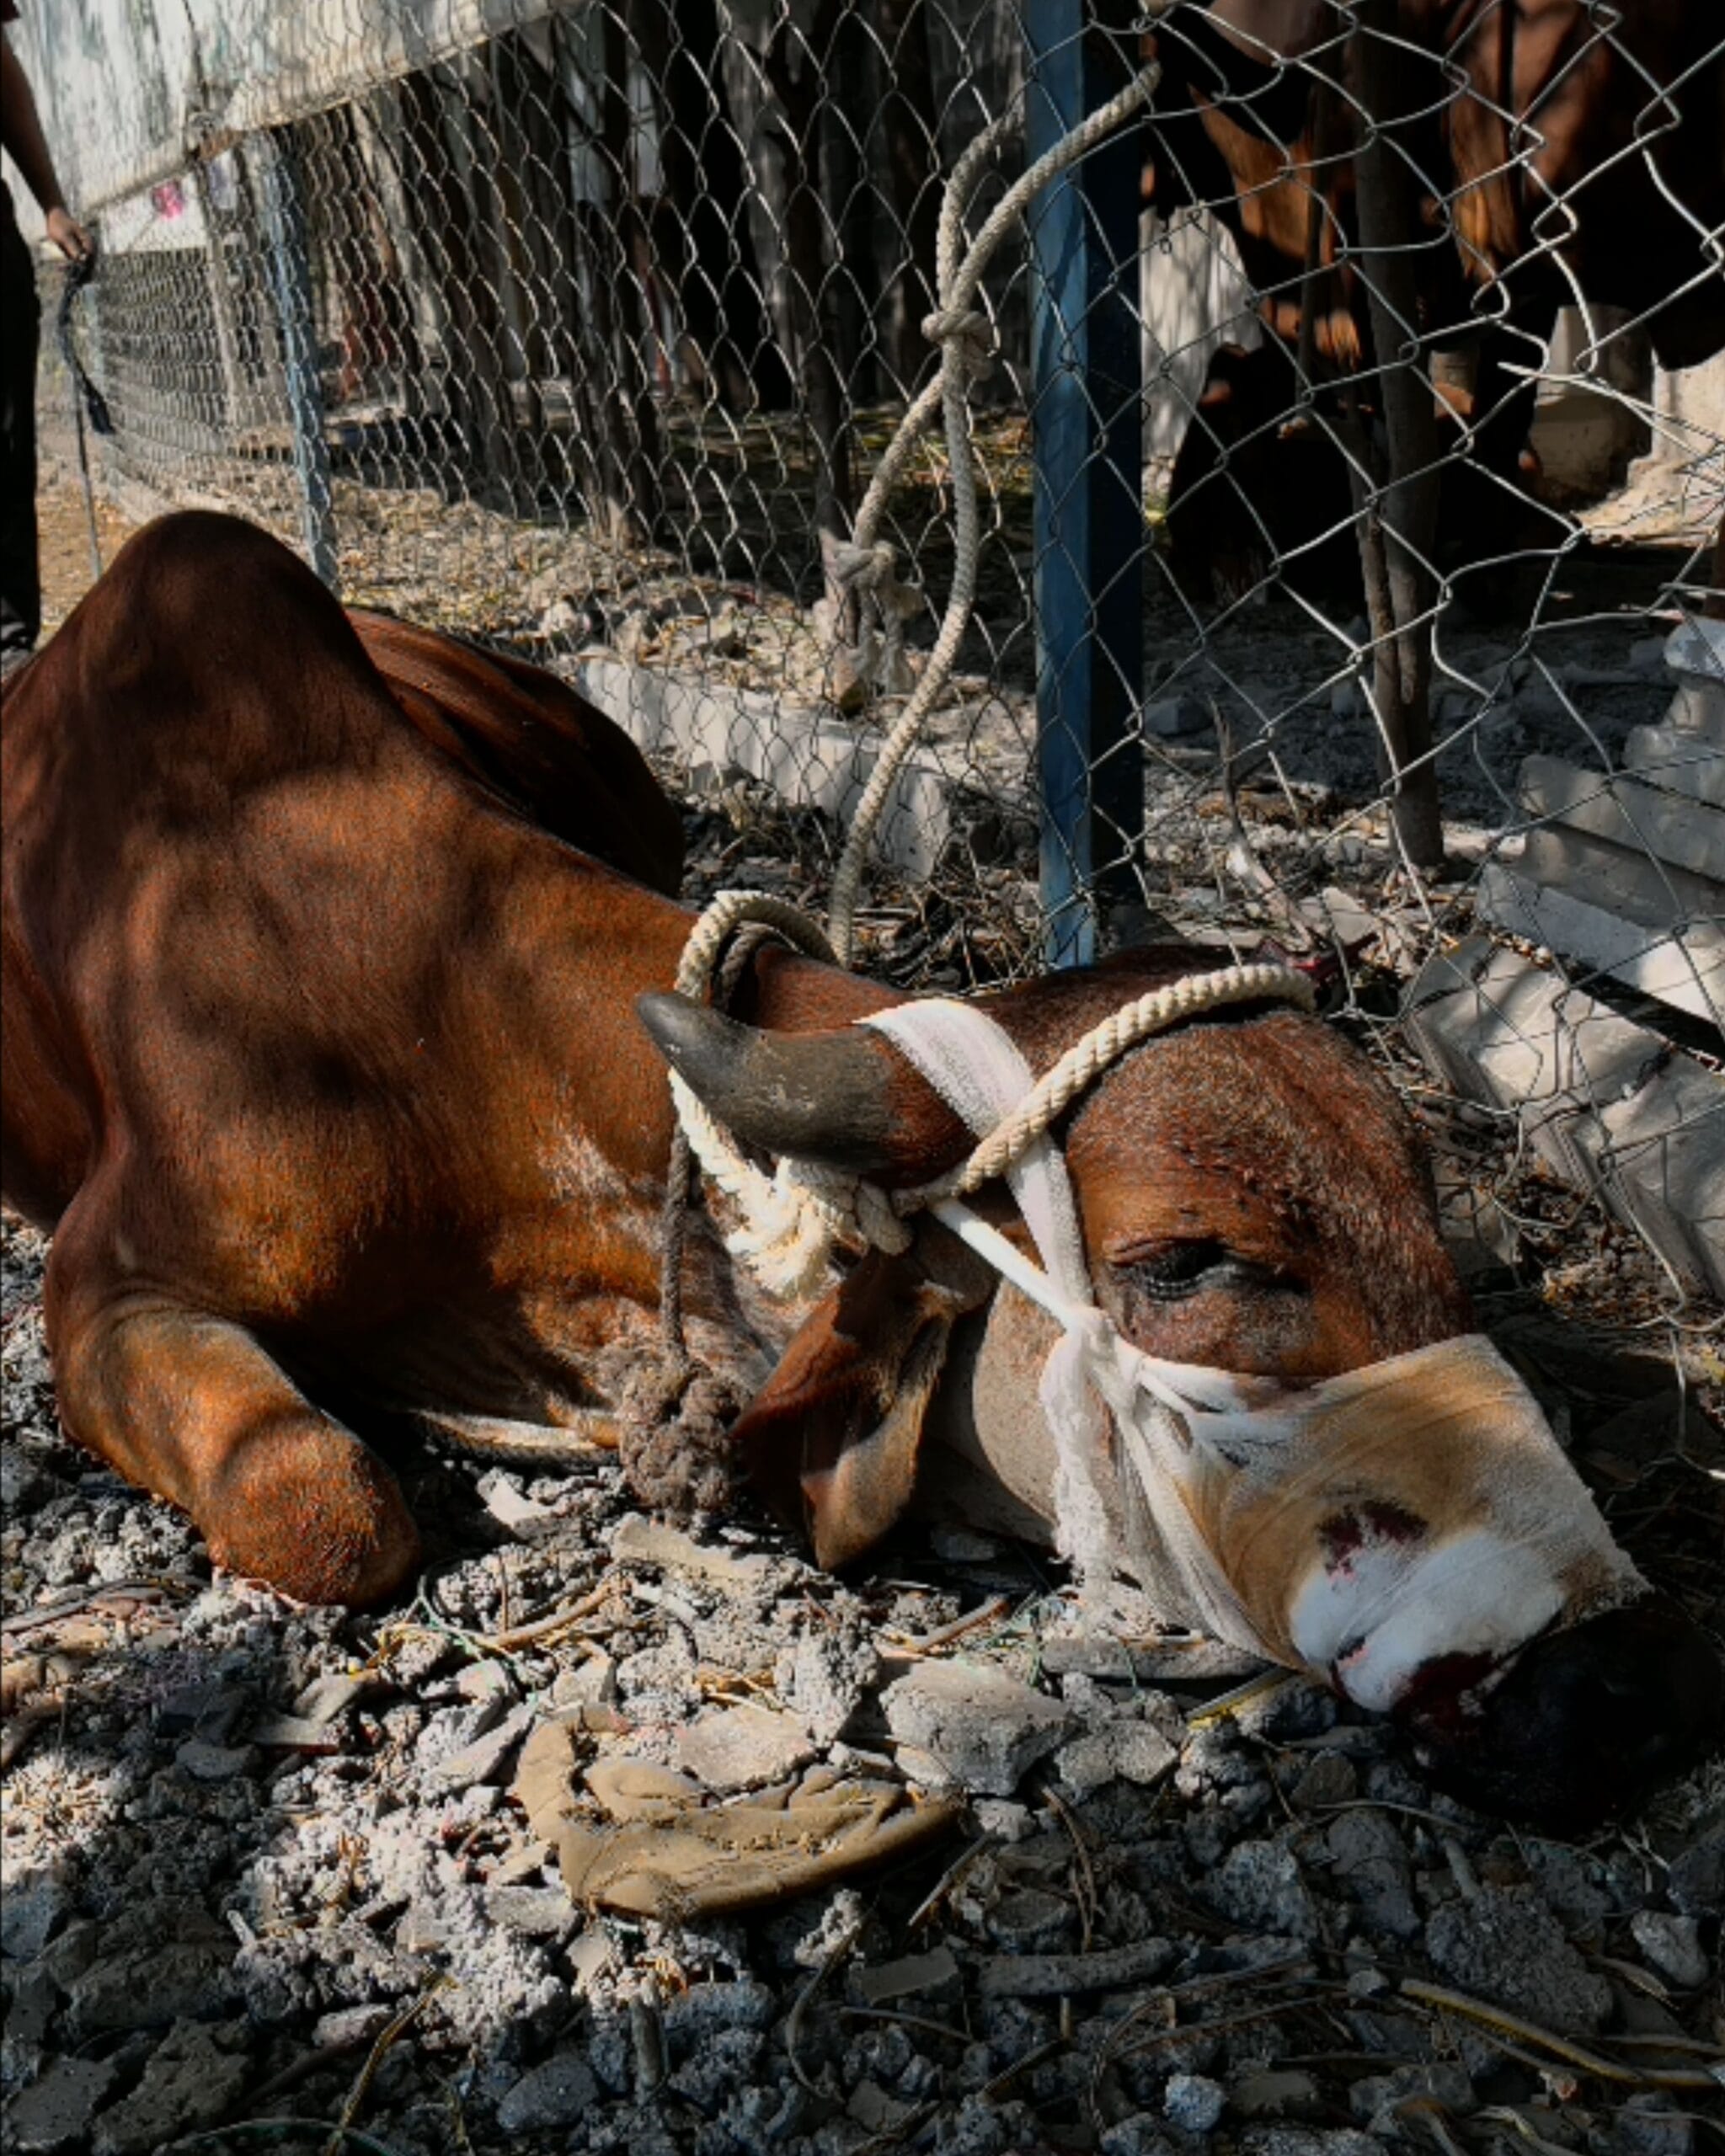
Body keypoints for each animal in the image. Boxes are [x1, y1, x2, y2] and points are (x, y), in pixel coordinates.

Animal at [2, 511, 1719, 1825]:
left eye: (1429, 1221)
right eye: (1189, 1260)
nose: (1622, 1684)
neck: (442, 1026)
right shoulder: (105, 1286)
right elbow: (326, 1504)